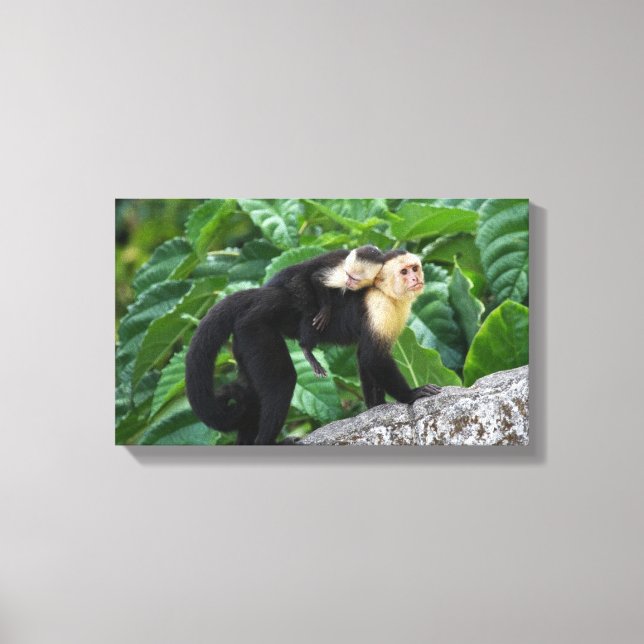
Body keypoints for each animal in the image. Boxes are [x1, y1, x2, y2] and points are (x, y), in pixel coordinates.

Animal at [264, 245, 385, 377]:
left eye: (354, 279)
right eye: (348, 275)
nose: (348, 282)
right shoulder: (341, 272)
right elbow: (317, 278)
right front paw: (326, 309)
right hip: (295, 284)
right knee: (310, 307)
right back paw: (306, 348)